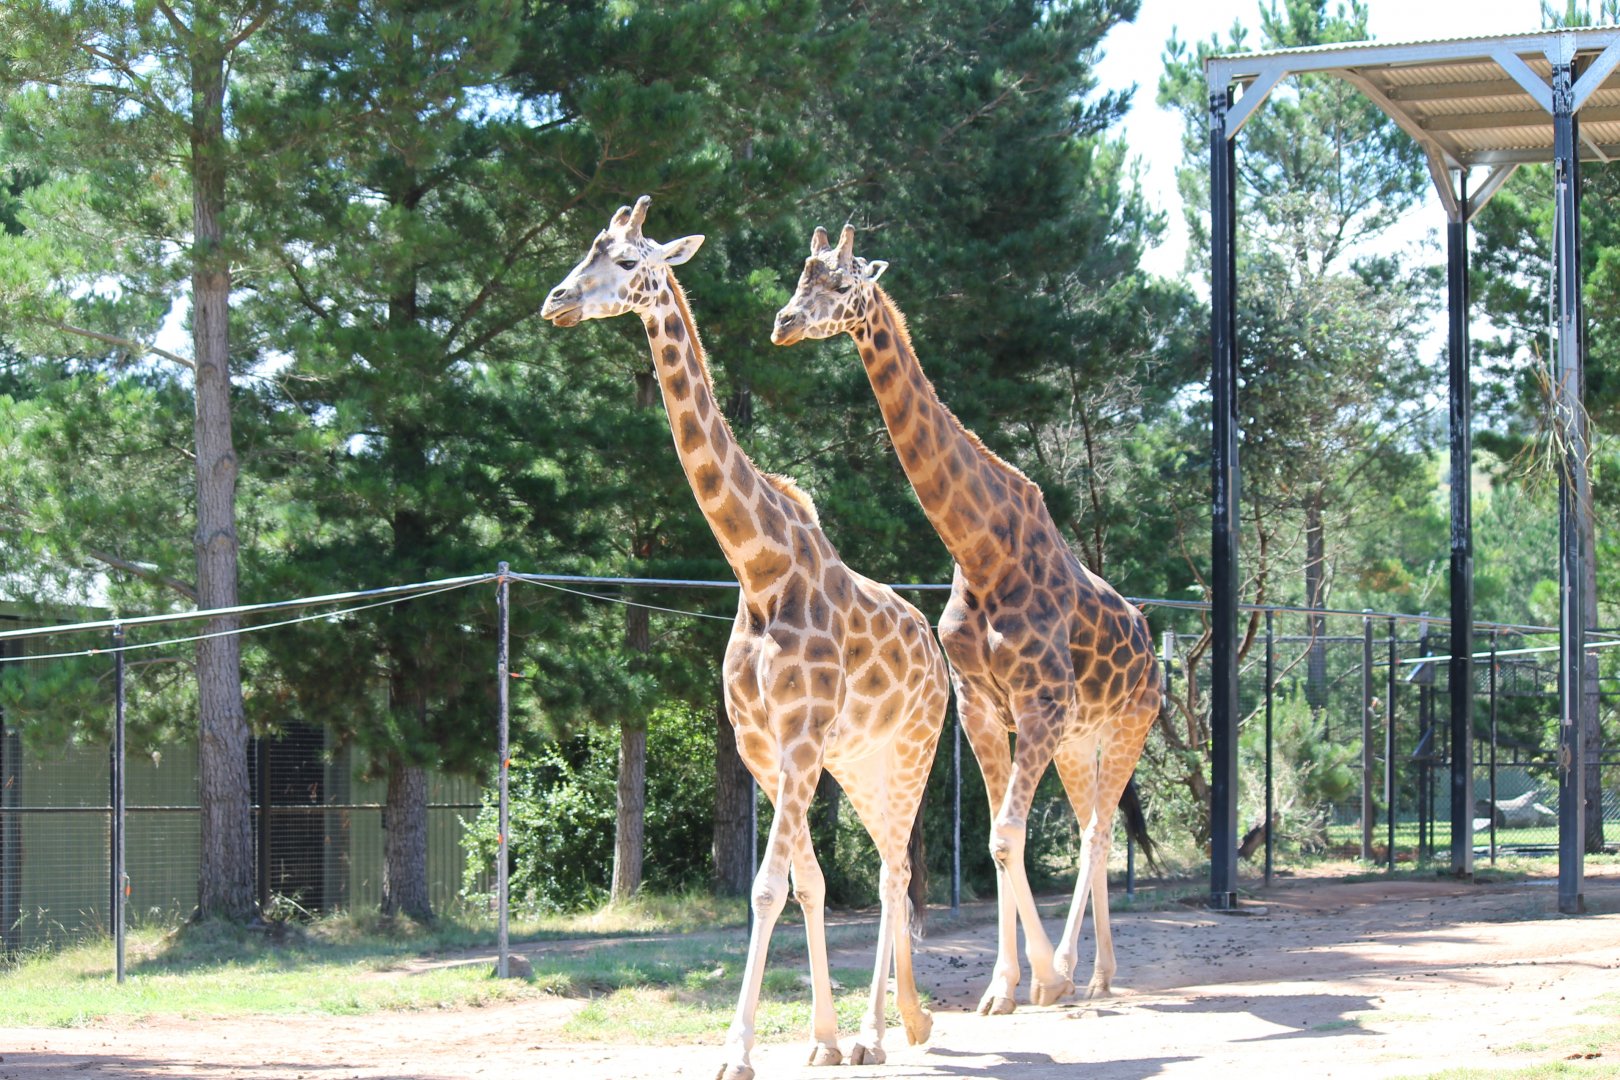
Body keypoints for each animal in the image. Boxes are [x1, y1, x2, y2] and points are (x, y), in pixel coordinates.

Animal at [542, 198, 949, 1079]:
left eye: (628, 261)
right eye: (590, 248)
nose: (555, 300)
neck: (759, 568)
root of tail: (937, 653)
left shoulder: (798, 739)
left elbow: (767, 887)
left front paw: (739, 1051)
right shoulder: (766, 745)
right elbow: (806, 883)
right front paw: (818, 1038)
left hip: (910, 751)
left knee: (896, 870)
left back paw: (882, 1032)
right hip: (857, 762)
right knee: (883, 869)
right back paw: (897, 1024)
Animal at [771, 224, 1161, 1013]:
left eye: (843, 284)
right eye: (801, 276)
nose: (785, 323)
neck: (980, 551)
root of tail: (1148, 638)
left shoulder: (1041, 703)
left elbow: (1008, 836)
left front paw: (1041, 979)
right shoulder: (984, 704)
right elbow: (996, 840)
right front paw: (1003, 987)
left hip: (1128, 724)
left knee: (1099, 830)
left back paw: (1080, 970)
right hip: (1081, 738)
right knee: (1091, 826)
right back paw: (1099, 974)